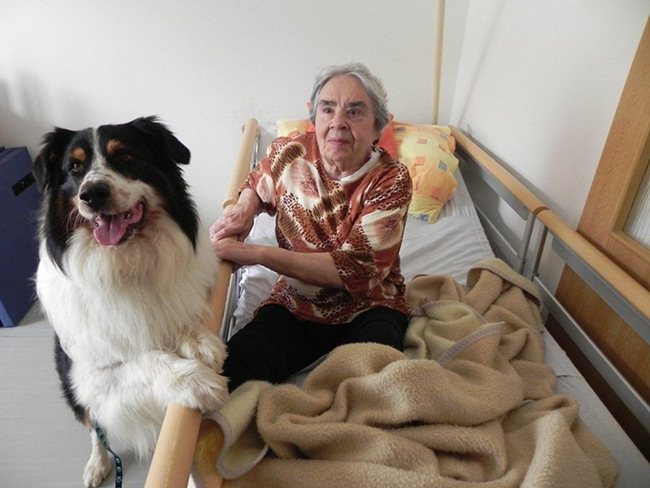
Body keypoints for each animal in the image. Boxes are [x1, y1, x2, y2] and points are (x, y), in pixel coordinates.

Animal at [32, 116, 227, 487]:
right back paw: (97, 465)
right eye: (75, 168)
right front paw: (195, 381)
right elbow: (145, 360)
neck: (125, 264)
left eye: (126, 157)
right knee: (95, 429)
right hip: (73, 388)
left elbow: (172, 317)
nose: (92, 194)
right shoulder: (91, 374)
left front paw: (197, 340)